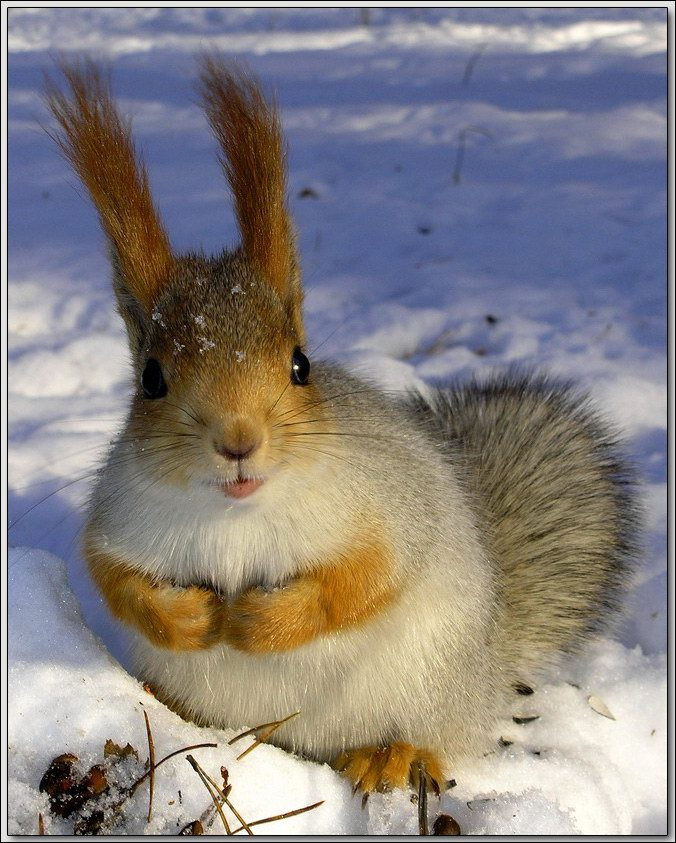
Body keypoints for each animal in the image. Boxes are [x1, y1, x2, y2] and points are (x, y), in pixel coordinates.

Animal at [44, 56, 638, 795]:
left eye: (301, 364)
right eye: (151, 379)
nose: (238, 441)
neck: (237, 515)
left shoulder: (388, 506)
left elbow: (366, 578)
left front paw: (259, 621)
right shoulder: (119, 516)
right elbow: (114, 578)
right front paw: (187, 617)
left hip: (428, 685)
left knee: (430, 733)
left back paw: (395, 755)